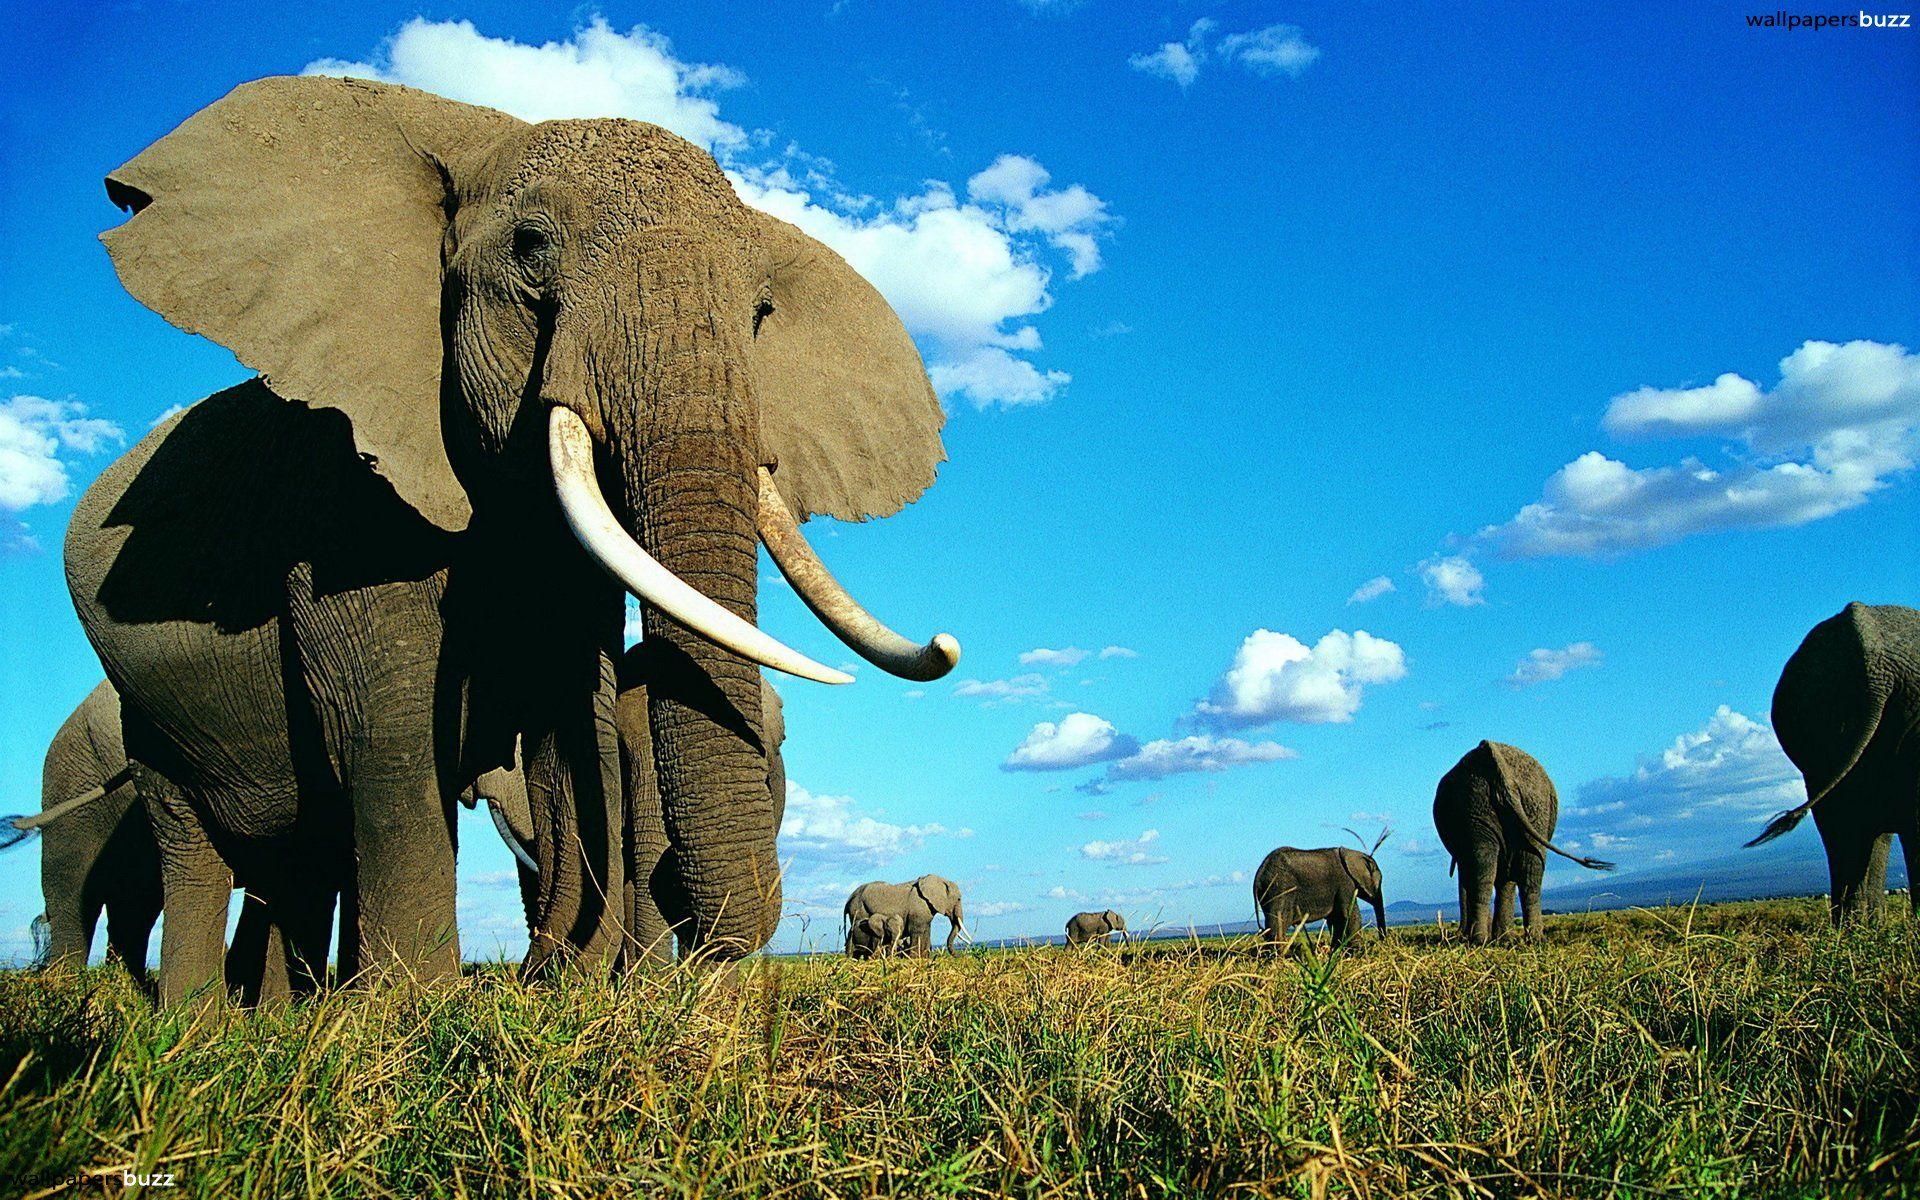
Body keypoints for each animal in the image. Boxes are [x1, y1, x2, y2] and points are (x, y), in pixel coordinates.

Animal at [66, 76, 960, 1002]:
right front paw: (416, 1008)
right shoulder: (342, 505)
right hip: (148, 710)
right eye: (531, 250)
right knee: (197, 848)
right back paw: (199, 1021)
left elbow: (572, 712)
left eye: (762, 312)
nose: (945, 641)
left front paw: (565, 985)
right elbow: (391, 736)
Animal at [1252, 846, 1386, 949]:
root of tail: (1258, 875)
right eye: (1379, 881)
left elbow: (1335, 918)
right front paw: (1356, 950)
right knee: (1277, 927)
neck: (1350, 853)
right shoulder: (1345, 883)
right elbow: (1349, 913)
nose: (1382, 941)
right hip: (1279, 889)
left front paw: (1336, 950)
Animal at [1433, 741, 1613, 943]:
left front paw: (1494, 938)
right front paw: (1502, 939)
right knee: (1523, 871)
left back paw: (1483, 940)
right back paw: (1531, 939)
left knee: (1492, 869)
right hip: (1523, 804)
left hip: (1494, 801)